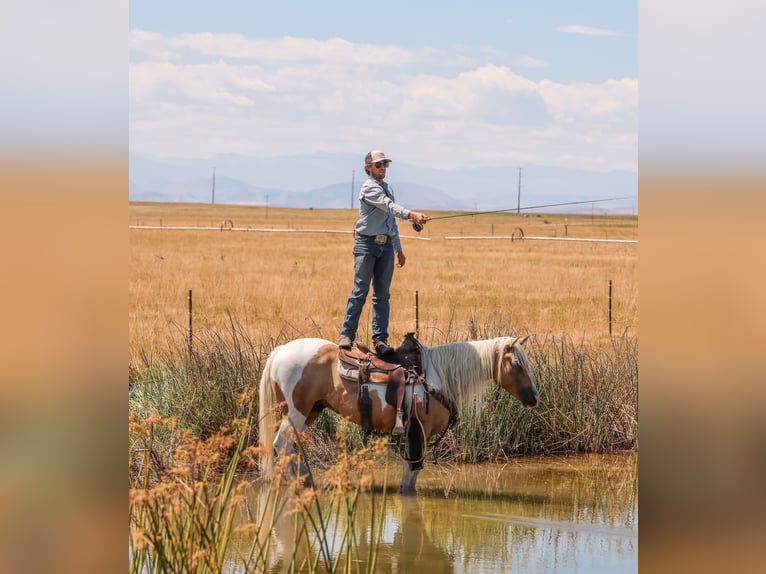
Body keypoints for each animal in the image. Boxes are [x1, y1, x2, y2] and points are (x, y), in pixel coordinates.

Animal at [258, 334, 539, 493]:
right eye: (517, 364)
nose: (534, 397)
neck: (437, 377)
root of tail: (281, 351)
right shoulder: (419, 431)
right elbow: (412, 471)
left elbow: (410, 473)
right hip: (297, 411)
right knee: (282, 444)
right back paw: (300, 483)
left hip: (312, 410)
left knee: (291, 446)